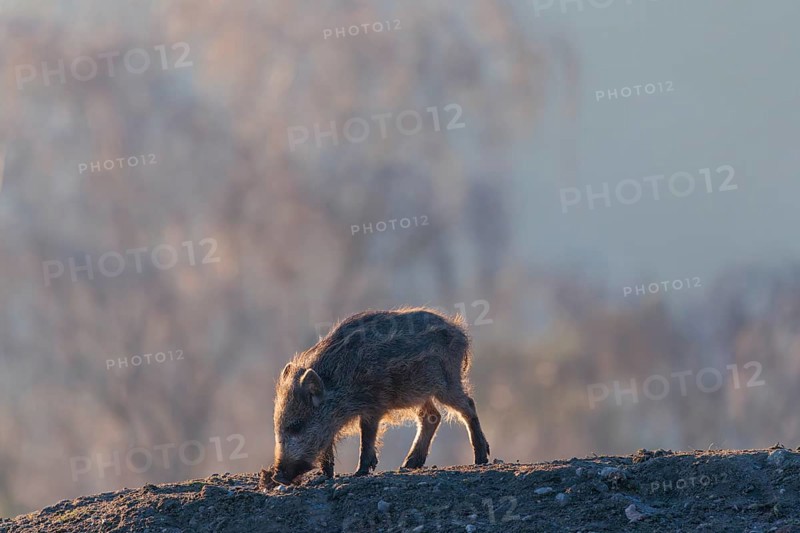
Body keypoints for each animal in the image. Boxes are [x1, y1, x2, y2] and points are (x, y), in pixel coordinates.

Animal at [271, 307, 490, 485]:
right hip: (418, 394)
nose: (277, 476)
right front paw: (326, 475)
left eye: (296, 426)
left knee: (467, 406)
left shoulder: (373, 406)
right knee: (432, 416)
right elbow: (329, 443)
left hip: (447, 382)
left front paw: (359, 472)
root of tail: (459, 331)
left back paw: (481, 458)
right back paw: (409, 464)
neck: (337, 381)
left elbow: (366, 437)